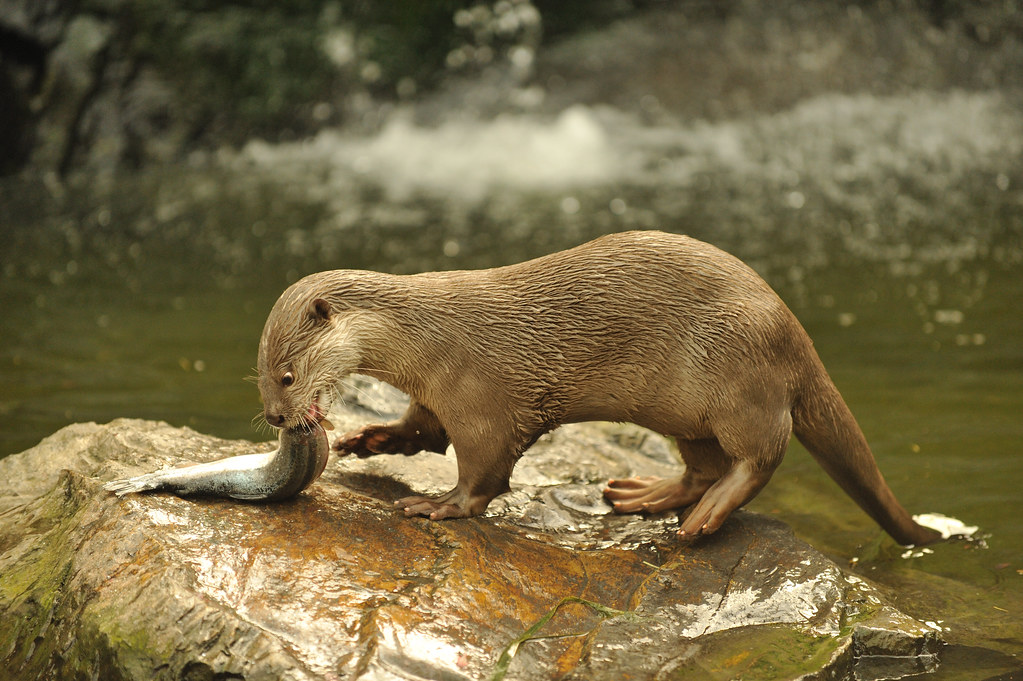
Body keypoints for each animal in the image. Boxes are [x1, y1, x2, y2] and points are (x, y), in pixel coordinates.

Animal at [257, 231, 941, 543]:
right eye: (261, 376)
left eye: (287, 375)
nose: (277, 418)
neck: (428, 336)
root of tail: (792, 327)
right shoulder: (436, 390)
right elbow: (420, 429)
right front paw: (370, 438)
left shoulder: (481, 395)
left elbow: (485, 469)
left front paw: (441, 504)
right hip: (684, 409)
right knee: (703, 464)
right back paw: (647, 494)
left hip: (741, 380)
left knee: (759, 454)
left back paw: (704, 518)